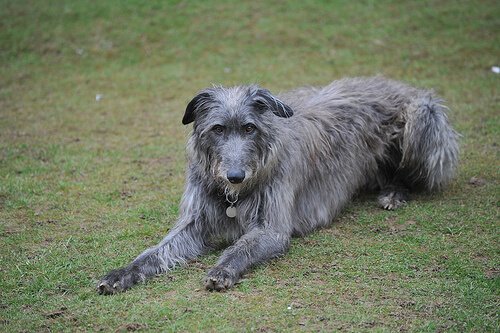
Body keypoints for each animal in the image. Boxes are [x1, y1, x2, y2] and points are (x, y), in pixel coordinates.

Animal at [95, 76, 458, 294]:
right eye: (217, 129)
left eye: (250, 128)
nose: (235, 176)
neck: (234, 196)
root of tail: (402, 85)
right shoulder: (195, 222)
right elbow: (155, 252)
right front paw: (120, 274)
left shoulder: (272, 228)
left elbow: (240, 246)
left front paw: (223, 269)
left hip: (422, 117)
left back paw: (395, 192)